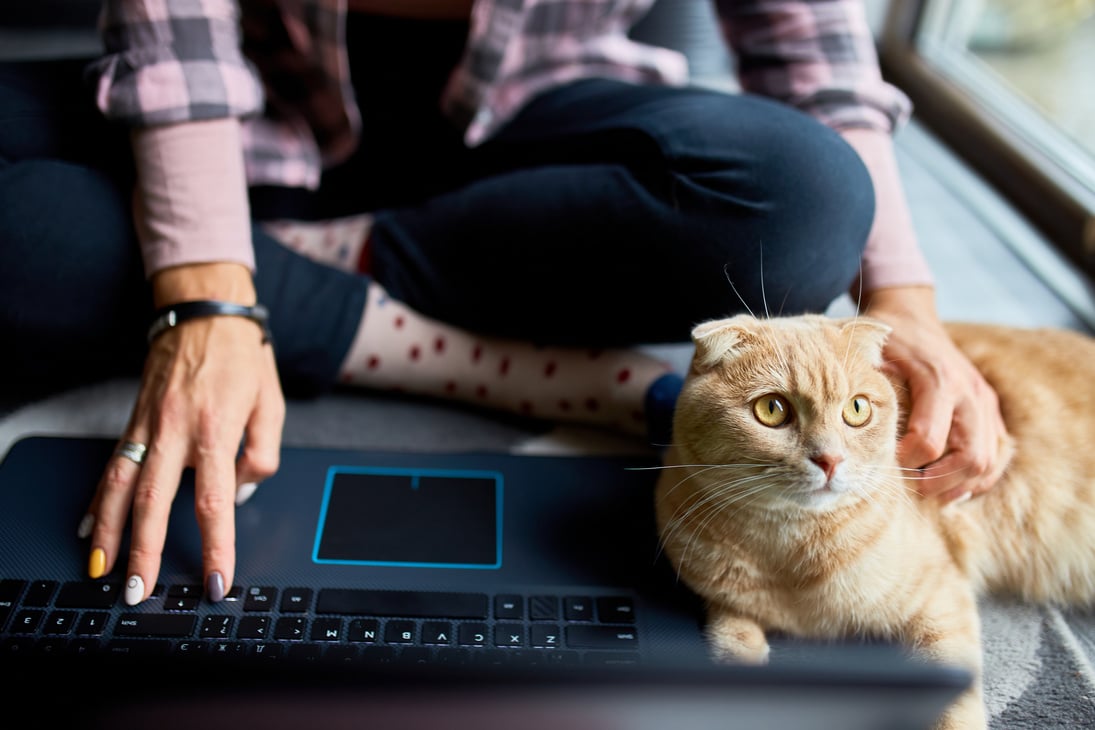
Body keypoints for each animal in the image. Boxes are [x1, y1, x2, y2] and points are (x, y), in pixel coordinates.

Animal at [652, 317, 1095, 730]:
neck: (788, 551)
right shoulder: (722, 596)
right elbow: (731, 639)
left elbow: (954, 701)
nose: (830, 460)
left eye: (857, 409)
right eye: (772, 410)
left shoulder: (940, 596)